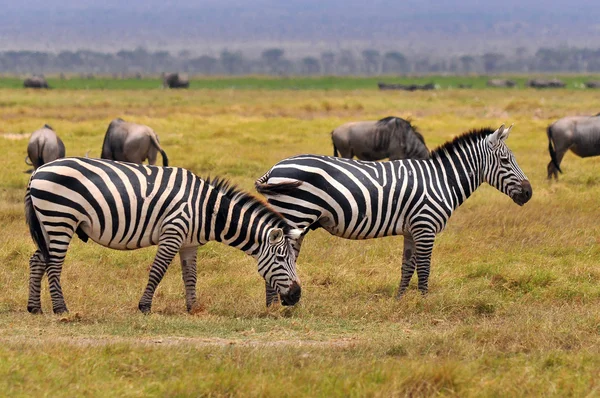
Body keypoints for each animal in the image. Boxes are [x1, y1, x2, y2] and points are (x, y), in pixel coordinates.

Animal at [25, 156, 302, 314]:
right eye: (281, 259)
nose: (297, 296)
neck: (208, 210)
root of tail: (38, 171)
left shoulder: (189, 243)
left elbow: (190, 276)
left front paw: (193, 308)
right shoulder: (173, 232)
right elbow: (157, 271)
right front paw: (144, 307)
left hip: (48, 222)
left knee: (37, 260)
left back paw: (34, 308)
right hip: (60, 218)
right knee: (53, 264)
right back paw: (61, 309)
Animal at [255, 124, 532, 304]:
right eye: (505, 161)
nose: (528, 193)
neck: (442, 180)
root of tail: (275, 168)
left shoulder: (413, 229)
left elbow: (407, 266)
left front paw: (400, 300)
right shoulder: (425, 225)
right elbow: (424, 266)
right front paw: (424, 302)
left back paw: (276, 305)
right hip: (294, 215)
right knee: (275, 257)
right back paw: (277, 306)